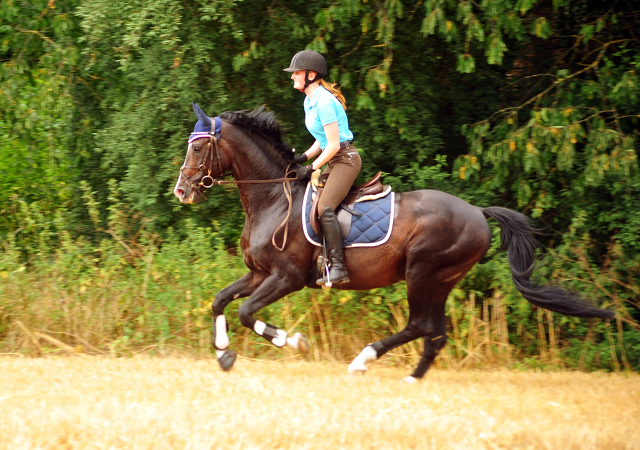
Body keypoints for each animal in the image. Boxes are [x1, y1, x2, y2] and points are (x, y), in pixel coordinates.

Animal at [174, 103, 616, 382]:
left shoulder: (286, 277)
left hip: (423, 271)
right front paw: (224, 354)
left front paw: (293, 341)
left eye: (198, 146)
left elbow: (247, 312)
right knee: (435, 333)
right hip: (443, 279)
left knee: (420, 325)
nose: (181, 191)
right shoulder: (258, 273)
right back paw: (411, 379)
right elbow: (220, 301)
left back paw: (363, 361)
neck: (272, 198)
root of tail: (477, 212)